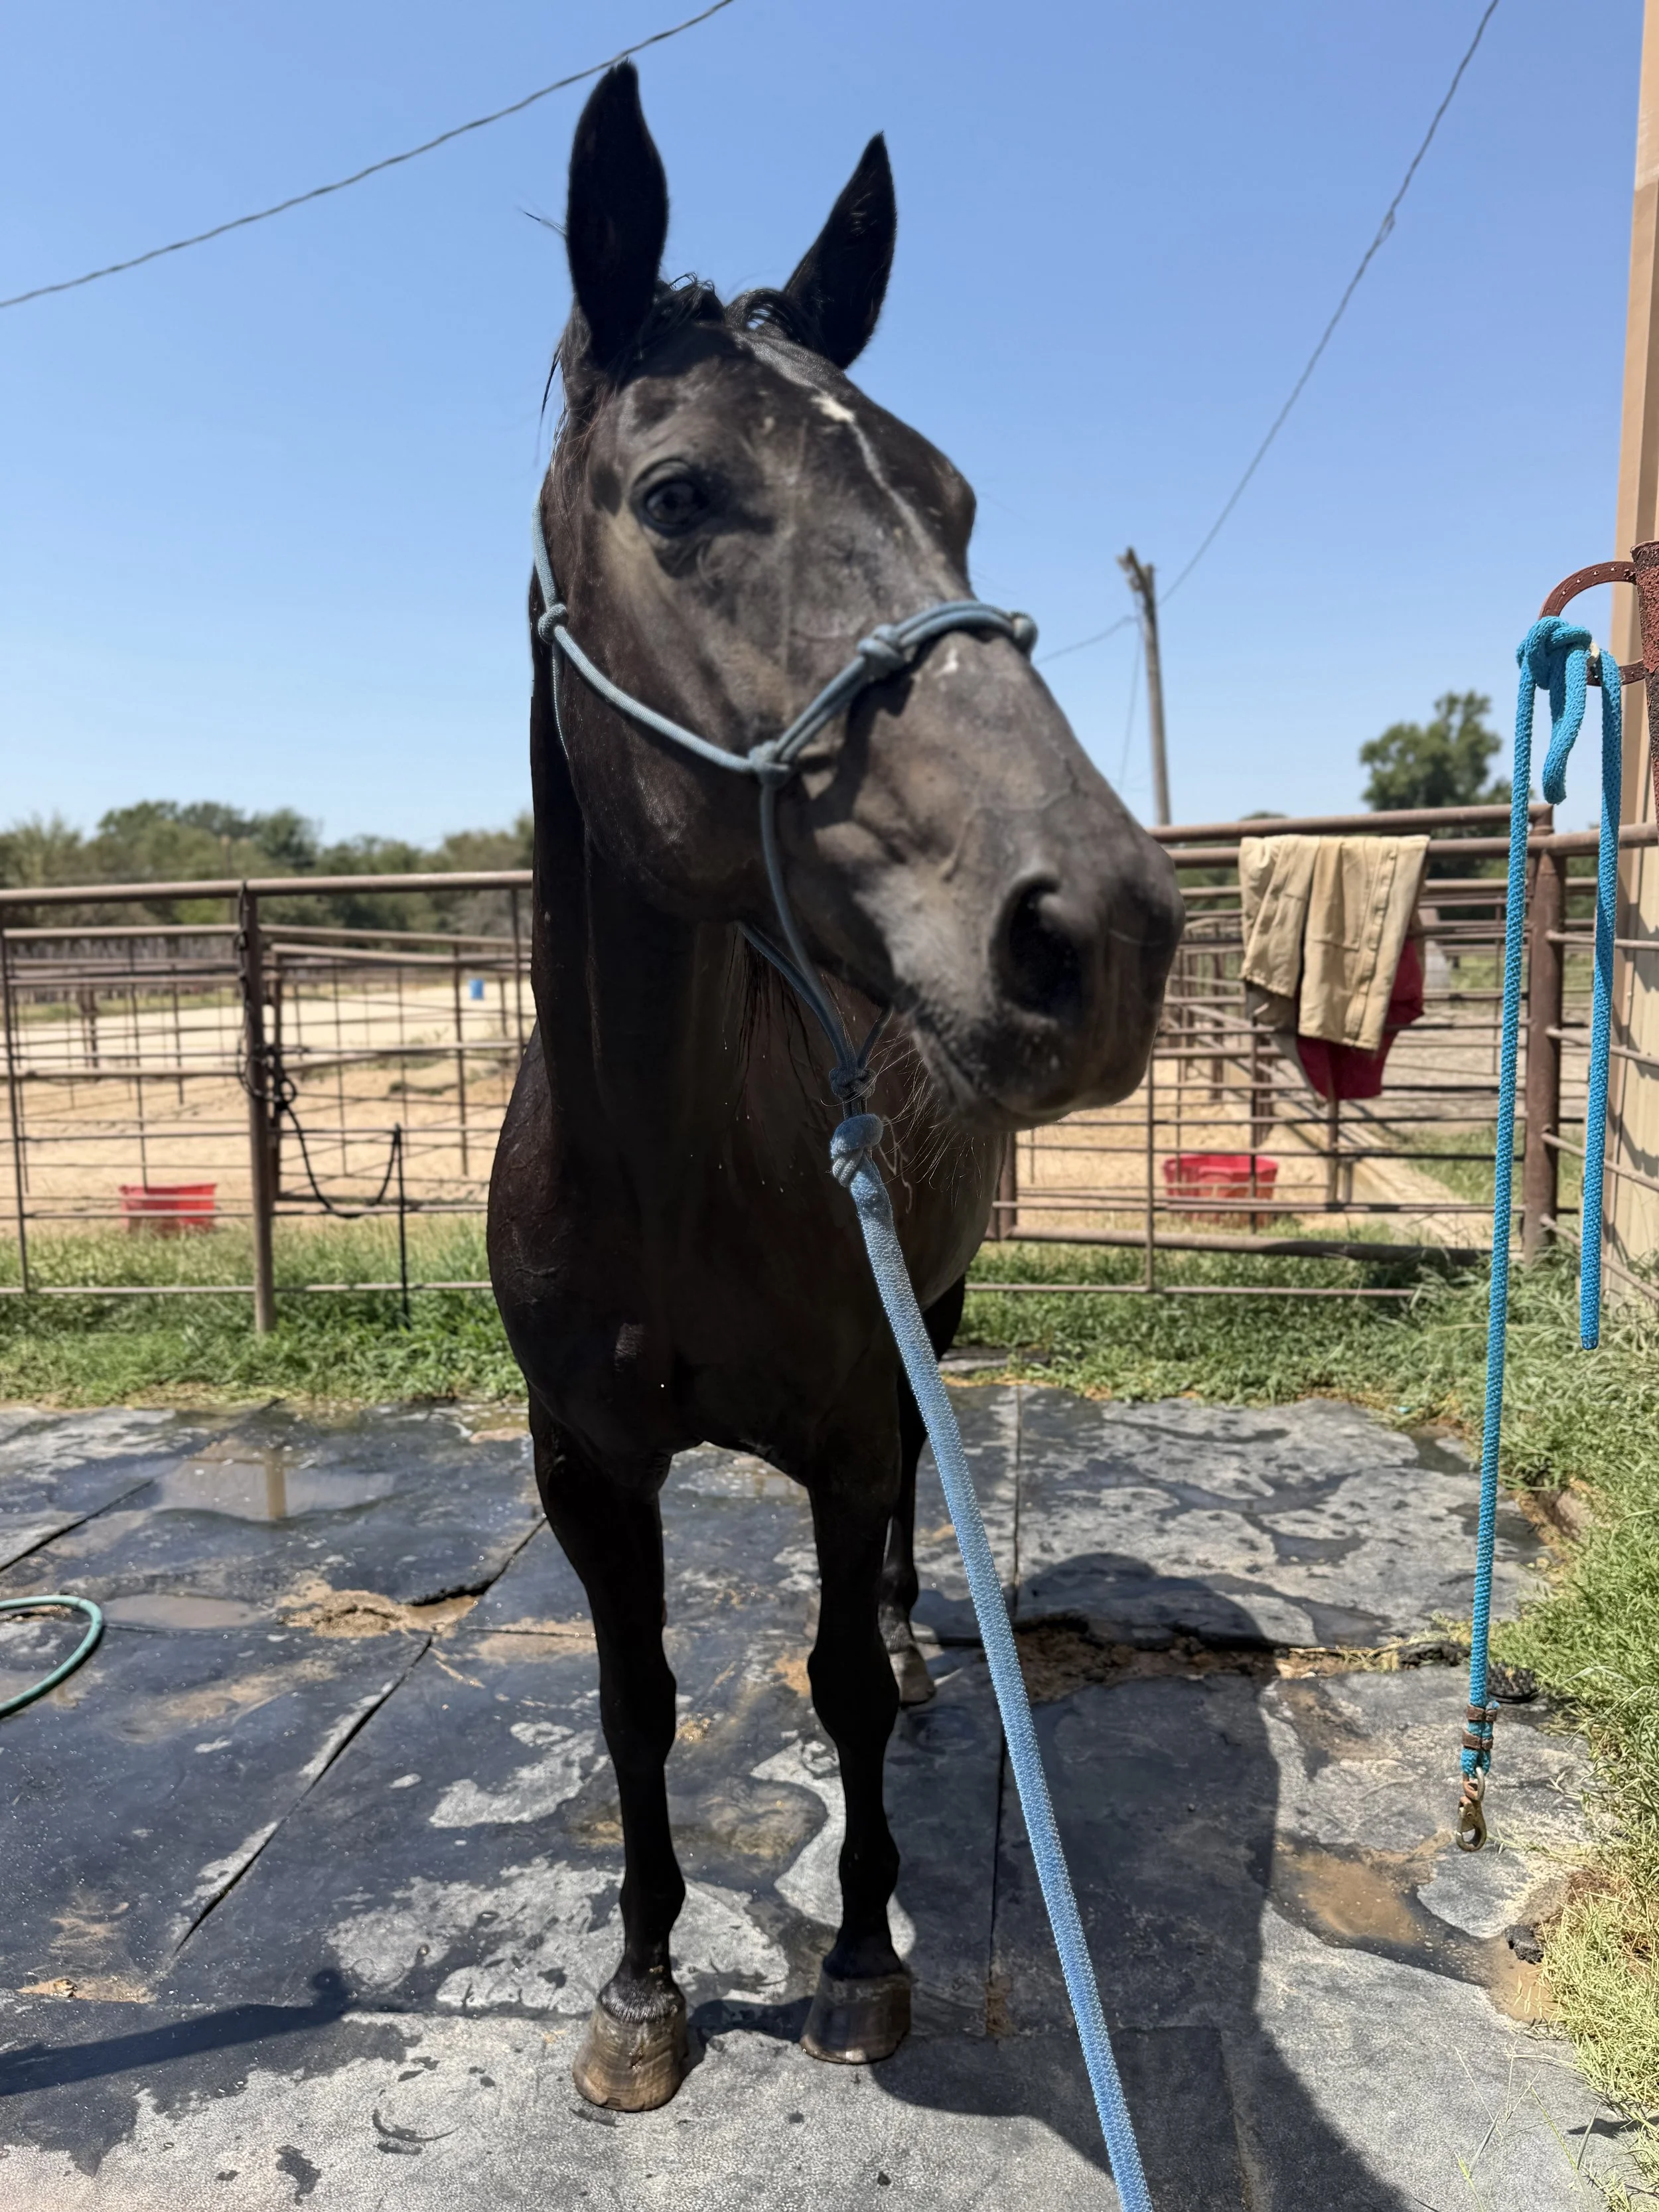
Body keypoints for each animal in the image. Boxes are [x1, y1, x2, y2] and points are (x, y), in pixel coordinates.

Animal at [487, 62, 1184, 2114]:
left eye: (952, 501)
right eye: (677, 495)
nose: (1097, 928)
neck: (661, 1155)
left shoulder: (854, 1420)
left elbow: (842, 1686)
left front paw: (866, 1954)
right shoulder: (583, 1460)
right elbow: (632, 1702)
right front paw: (642, 1982)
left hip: (928, 1313)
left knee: (895, 1556)